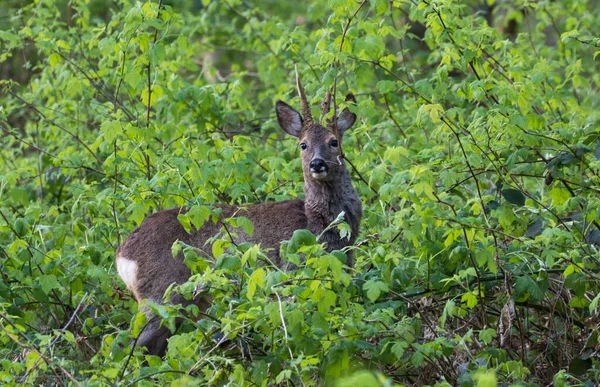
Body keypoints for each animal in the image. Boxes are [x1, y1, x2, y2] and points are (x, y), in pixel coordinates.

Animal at [116, 70, 360, 358]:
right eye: (303, 145)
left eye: (334, 141)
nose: (317, 163)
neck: (318, 224)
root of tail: (122, 255)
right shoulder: (289, 275)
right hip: (162, 294)